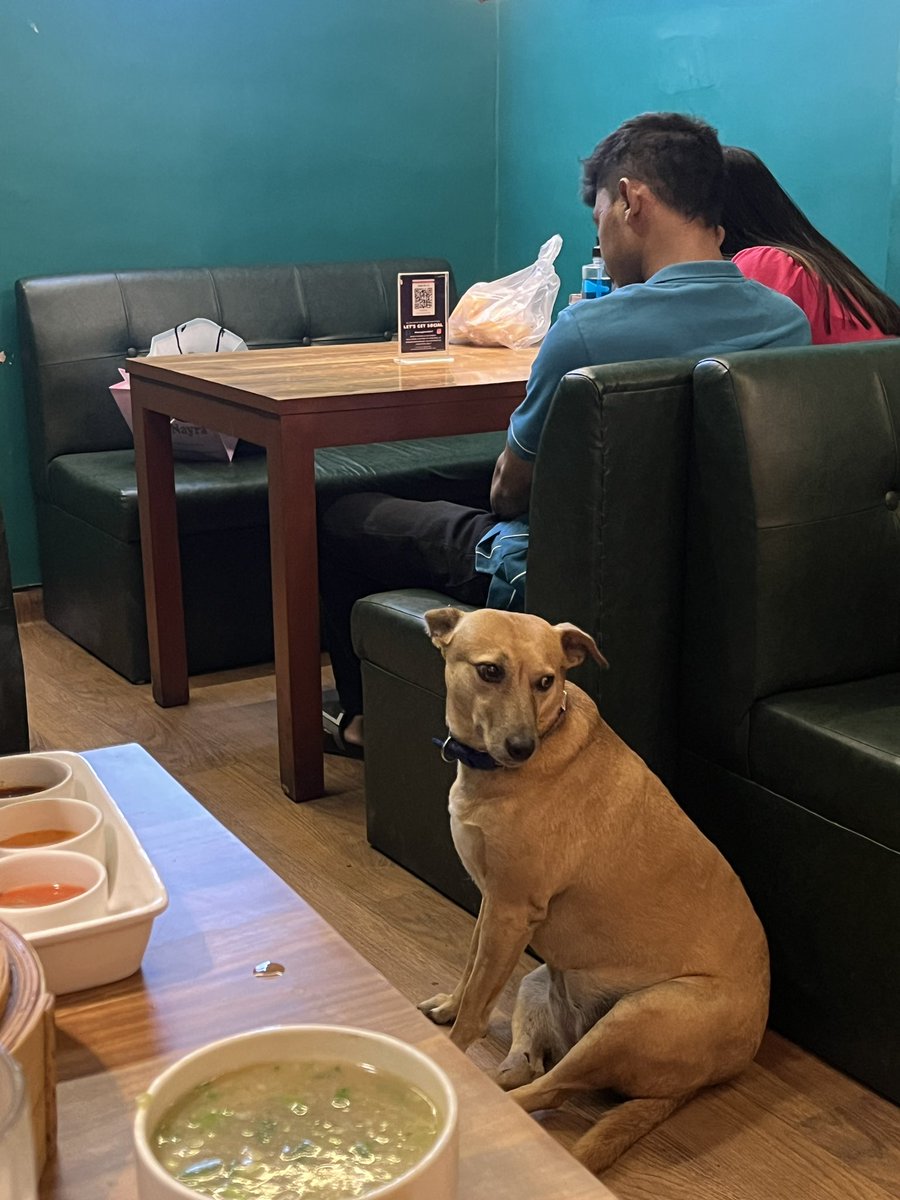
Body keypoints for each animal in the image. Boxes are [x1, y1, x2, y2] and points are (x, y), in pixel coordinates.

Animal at [420, 609, 772, 1171]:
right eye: (490, 671)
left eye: (547, 681)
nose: (521, 748)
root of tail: (697, 1083)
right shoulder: (493, 905)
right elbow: (471, 970)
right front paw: (449, 1006)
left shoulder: (511, 911)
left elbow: (476, 1008)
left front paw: (454, 1044)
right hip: (537, 979)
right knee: (526, 1065)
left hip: (635, 1017)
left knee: (552, 1089)